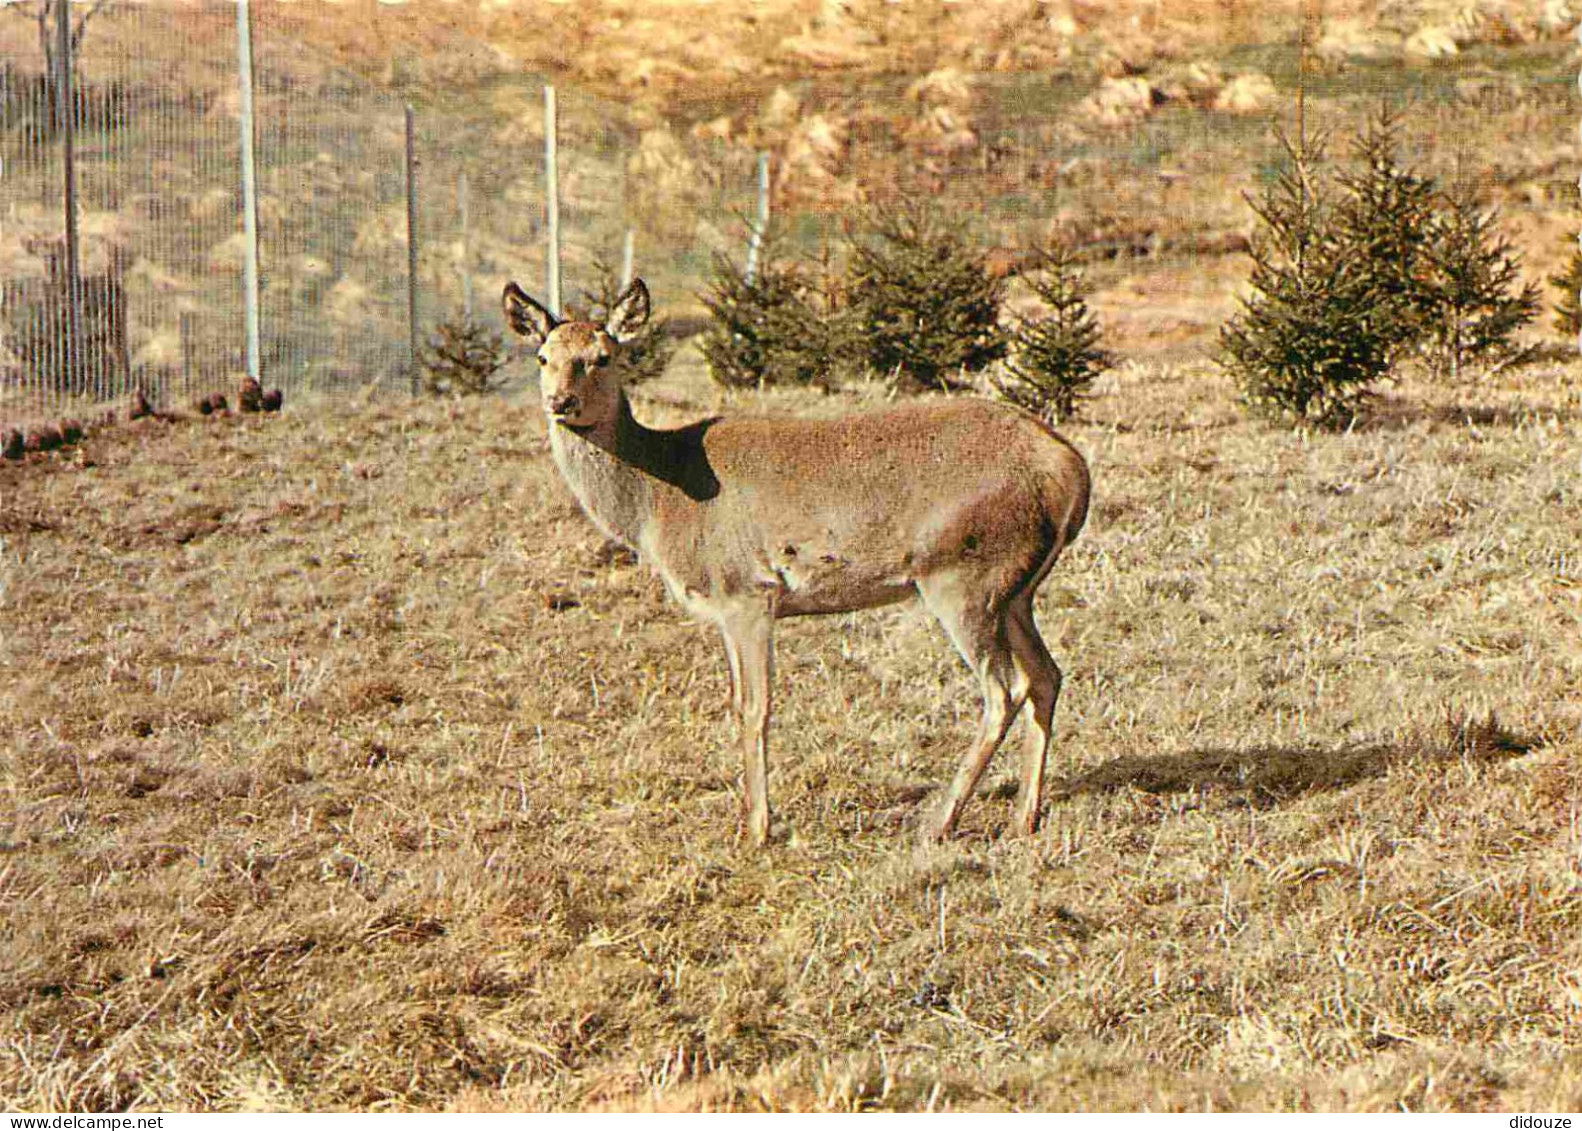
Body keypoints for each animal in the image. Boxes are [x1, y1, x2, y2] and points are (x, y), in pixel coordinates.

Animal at [503, 278, 1088, 847]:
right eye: (543, 356)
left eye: (603, 357)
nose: (560, 402)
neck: (658, 499)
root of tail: (1070, 467)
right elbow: (740, 703)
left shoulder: (747, 590)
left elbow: (754, 707)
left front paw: (756, 830)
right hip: (1015, 590)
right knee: (1046, 676)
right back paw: (1024, 816)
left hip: (964, 573)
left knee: (1003, 691)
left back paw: (938, 822)